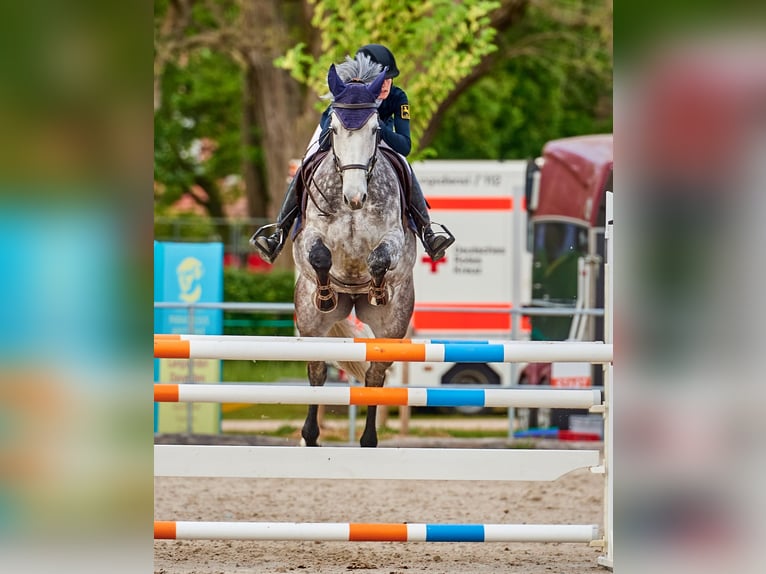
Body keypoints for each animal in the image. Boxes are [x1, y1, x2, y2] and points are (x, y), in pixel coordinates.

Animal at [292, 64, 417, 448]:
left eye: (376, 129)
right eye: (333, 128)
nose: (355, 197)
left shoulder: (394, 238)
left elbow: (379, 258)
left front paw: (377, 288)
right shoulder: (310, 236)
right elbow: (319, 255)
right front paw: (326, 292)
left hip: (391, 327)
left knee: (375, 375)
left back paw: (368, 440)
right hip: (310, 323)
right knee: (317, 370)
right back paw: (310, 435)